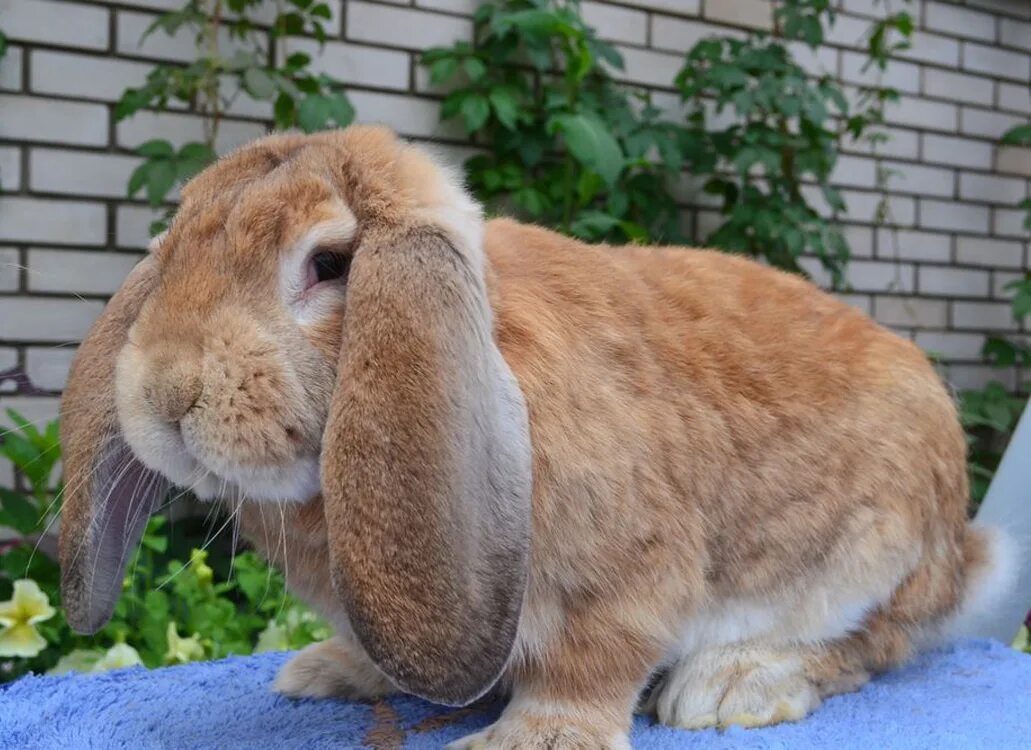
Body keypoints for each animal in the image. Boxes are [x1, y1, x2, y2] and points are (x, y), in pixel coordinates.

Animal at [54, 126, 1006, 746]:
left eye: (327, 264)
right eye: (173, 253)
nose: (165, 392)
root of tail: (958, 546)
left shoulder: (624, 579)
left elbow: (590, 665)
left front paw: (530, 738)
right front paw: (332, 671)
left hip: (869, 561)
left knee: (872, 645)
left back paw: (730, 687)